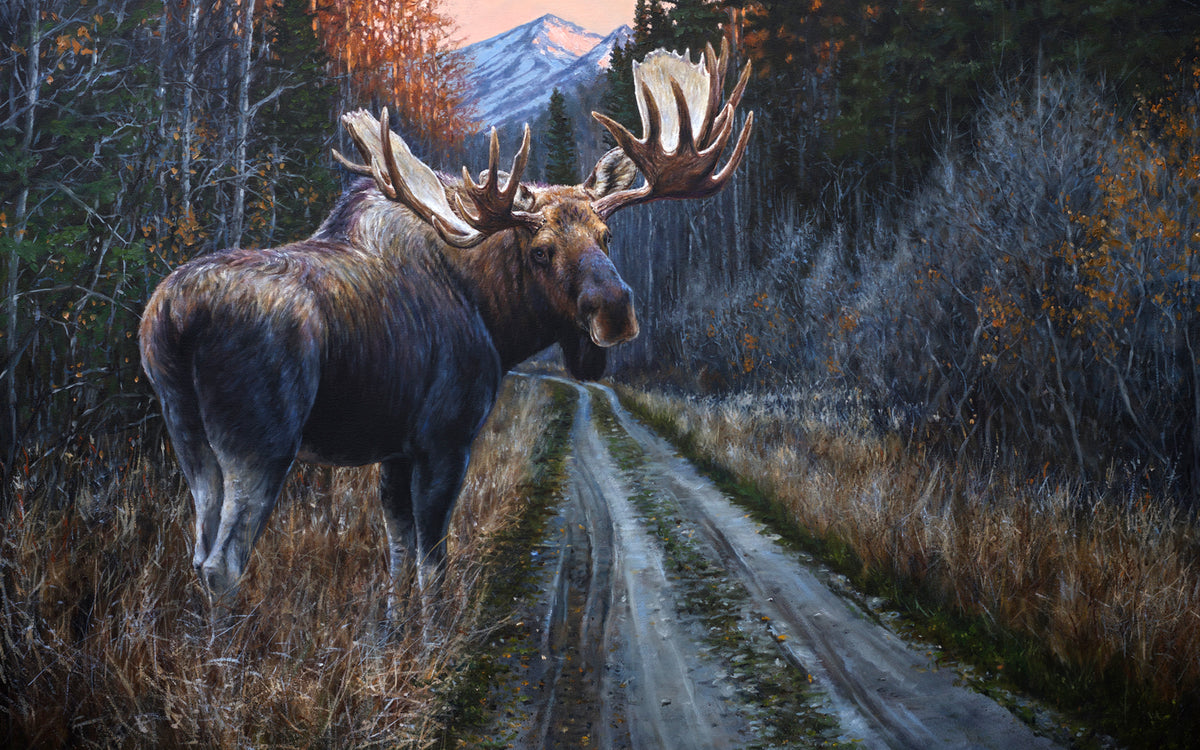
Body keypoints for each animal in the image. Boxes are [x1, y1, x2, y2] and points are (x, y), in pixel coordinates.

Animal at [139, 41, 752, 623]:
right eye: (540, 250)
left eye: (607, 235)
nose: (616, 312)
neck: (497, 319)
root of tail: (172, 317)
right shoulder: (446, 436)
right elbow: (433, 560)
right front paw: (432, 639)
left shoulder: (395, 447)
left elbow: (399, 550)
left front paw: (392, 633)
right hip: (261, 441)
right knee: (224, 562)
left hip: (188, 434)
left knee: (200, 550)